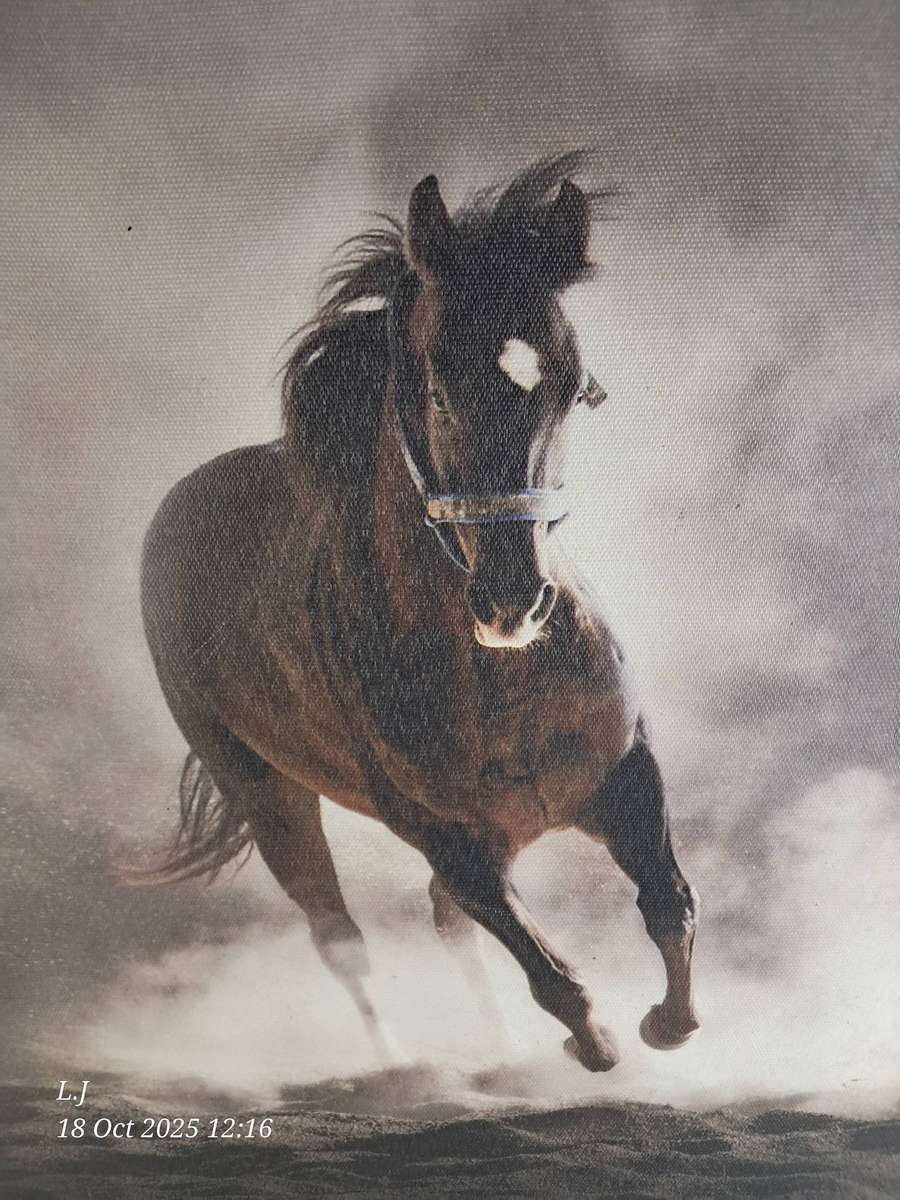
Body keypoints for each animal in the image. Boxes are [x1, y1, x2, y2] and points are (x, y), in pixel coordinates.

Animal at [135, 153, 700, 1073]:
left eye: (579, 392)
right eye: (434, 390)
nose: (514, 603)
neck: (498, 679)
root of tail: (176, 509)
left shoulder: (624, 776)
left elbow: (669, 904)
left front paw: (667, 1024)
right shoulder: (446, 838)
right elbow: (554, 979)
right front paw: (604, 1042)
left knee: (443, 926)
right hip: (263, 791)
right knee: (341, 938)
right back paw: (405, 1068)